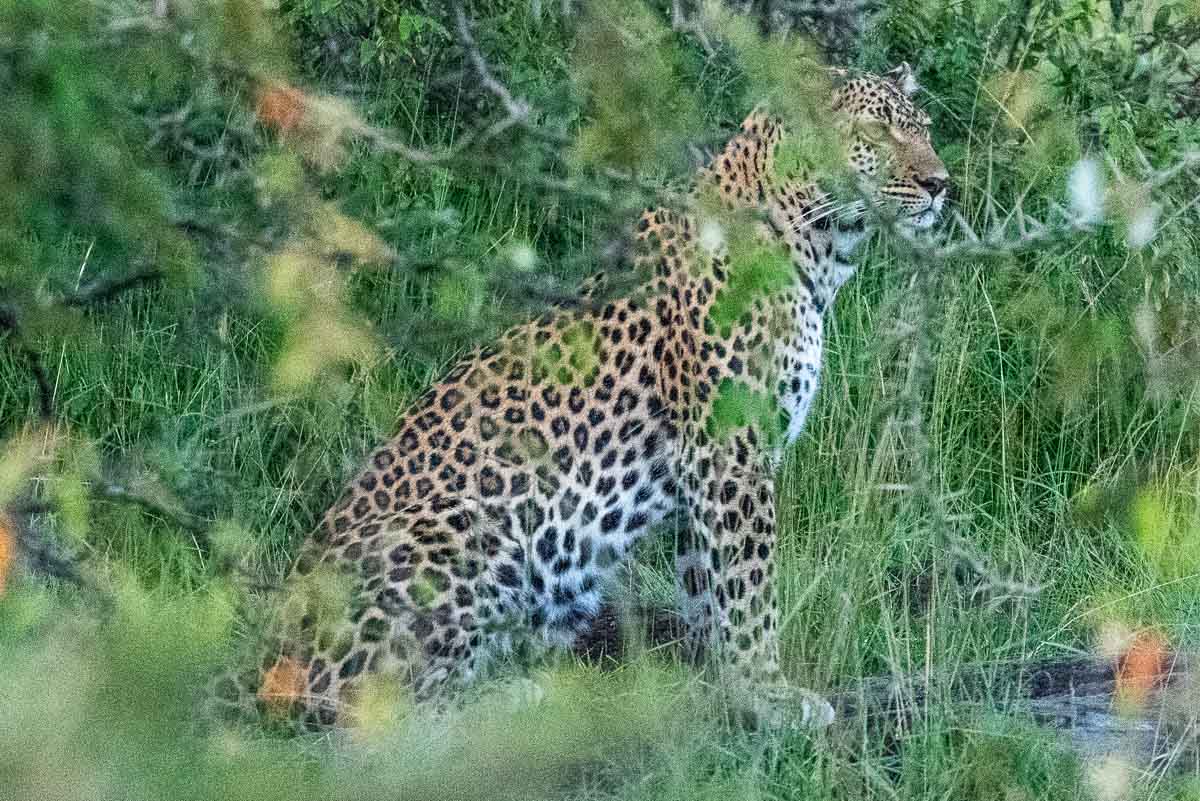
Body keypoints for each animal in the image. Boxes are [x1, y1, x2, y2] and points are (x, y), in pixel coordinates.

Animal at [223, 62, 945, 733]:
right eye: (876, 132)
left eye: (924, 128)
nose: (942, 183)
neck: (818, 248)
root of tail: (269, 653)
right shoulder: (729, 452)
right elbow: (749, 584)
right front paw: (770, 693)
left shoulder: (703, 472)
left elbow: (707, 583)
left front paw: (723, 683)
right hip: (471, 526)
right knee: (378, 714)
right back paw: (517, 701)